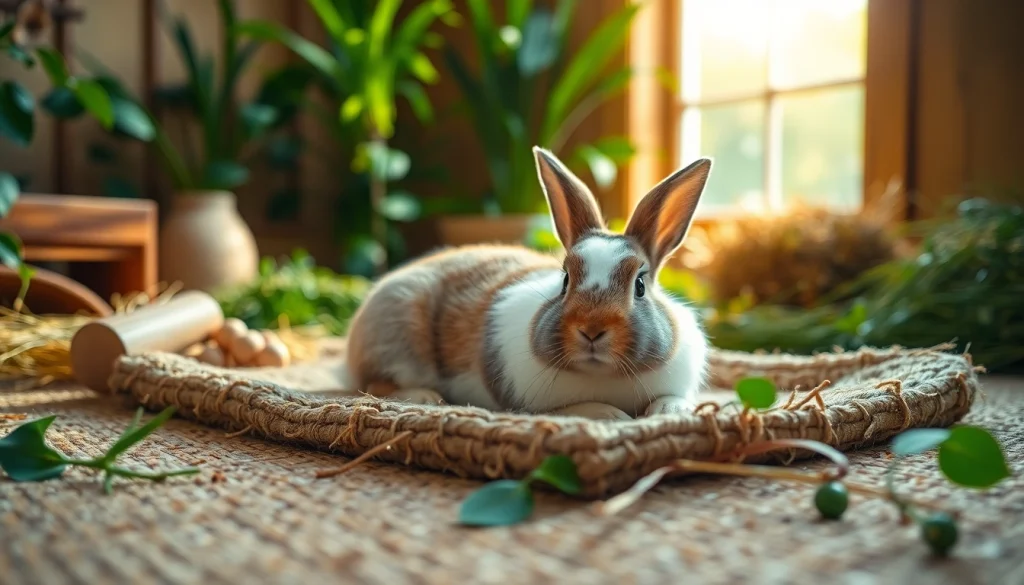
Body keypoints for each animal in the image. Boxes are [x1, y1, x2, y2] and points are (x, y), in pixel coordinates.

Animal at [343, 147, 713, 420]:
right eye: (565, 279)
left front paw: (669, 412)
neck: (604, 376)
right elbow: (579, 408)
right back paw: (425, 396)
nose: (591, 330)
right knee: (374, 383)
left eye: (640, 285)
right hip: (395, 340)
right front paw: (612, 415)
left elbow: (671, 399)